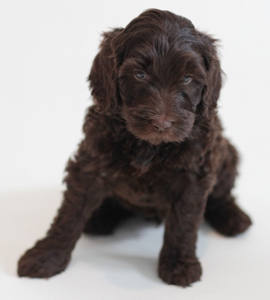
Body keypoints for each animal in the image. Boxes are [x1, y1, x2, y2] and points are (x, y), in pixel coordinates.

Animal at [17, 8, 252, 286]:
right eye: (140, 74)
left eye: (187, 78)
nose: (162, 123)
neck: (150, 146)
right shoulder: (91, 163)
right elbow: (70, 213)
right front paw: (46, 256)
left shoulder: (195, 171)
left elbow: (184, 221)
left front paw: (179, 264)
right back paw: (100, 217)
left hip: (226, 154)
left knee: (222, 195)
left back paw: (234, 217)